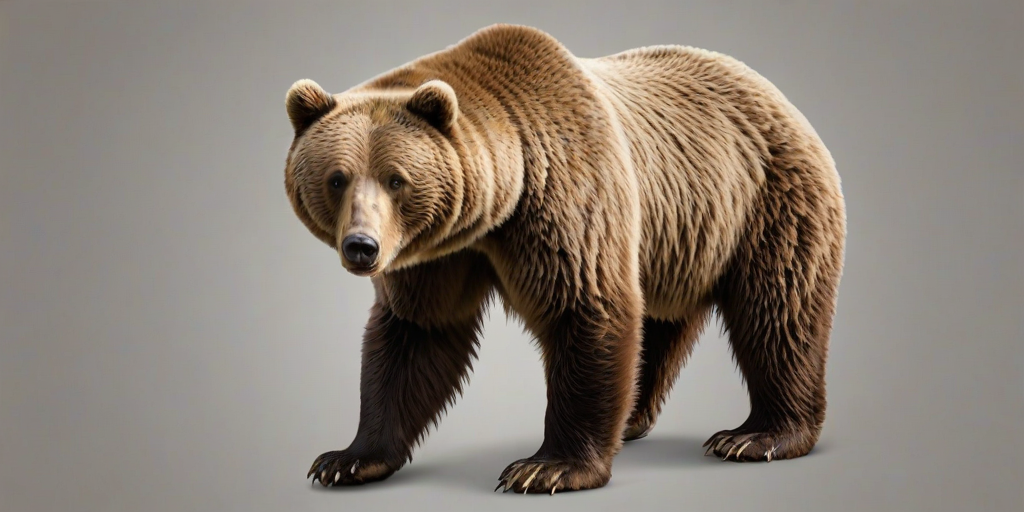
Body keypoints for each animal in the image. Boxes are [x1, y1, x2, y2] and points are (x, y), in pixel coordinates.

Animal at [282, 23, 846, 494]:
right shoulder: (435, 255)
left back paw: (757, 435)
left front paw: (547, 467)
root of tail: (774, 93)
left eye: (396, 179)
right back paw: (634, 417)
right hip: (678, 239)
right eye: (337, 178)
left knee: (778, 311)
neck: (493, 210)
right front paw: (347, 458)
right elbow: (415, 334)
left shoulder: (565, 199)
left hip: (767, 200)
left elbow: (586, 306)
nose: (362, 246)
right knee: (659, 322)